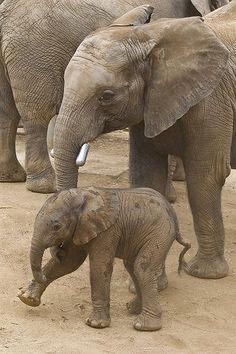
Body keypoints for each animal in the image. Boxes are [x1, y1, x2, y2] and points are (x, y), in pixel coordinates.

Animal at [18, 188, 191, 332]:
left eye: (57, 227)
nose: (56, 252)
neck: (83, 194)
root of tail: (173, 214)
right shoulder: (81, 227)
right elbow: (69, 263)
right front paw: (27, 299)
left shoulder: (107, 231)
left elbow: (99, 266)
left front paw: (95, 324)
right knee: (132, 267)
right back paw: (132, 309)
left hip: (160, 232)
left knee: (142, 268)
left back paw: (143, 326)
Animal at [53, 2, 236, 280]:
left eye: (106, 96)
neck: (147, 37)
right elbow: (147, 173)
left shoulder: (213, 100)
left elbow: (205, 174)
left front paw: (204, 273)